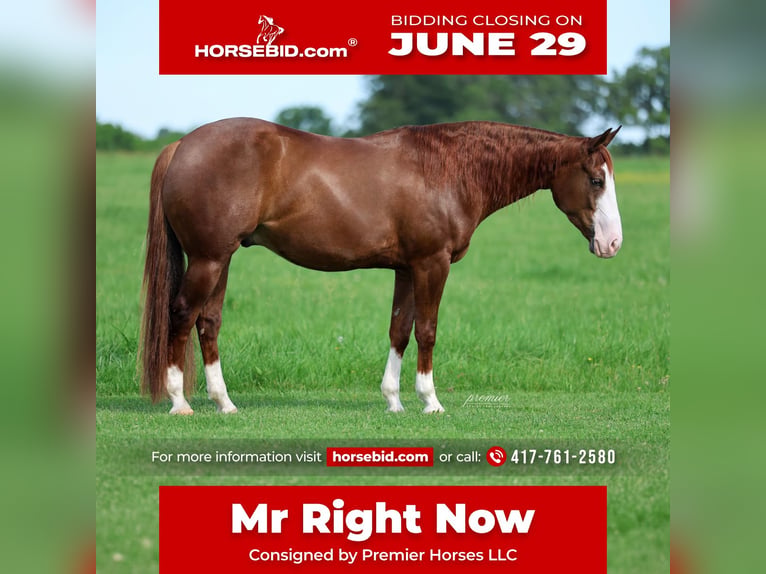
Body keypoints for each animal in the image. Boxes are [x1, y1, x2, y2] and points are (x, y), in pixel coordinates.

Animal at [139, 119, 622, 415]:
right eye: (596, 179)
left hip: (222, 259)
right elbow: (427, 330)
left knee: (208, 322)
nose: (612, 243)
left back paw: (224, 403)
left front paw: (394, 400)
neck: (447, 169)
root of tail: (182, 145)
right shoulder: (432, 264)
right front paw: (430, 401)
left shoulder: (407, 268)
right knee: (181, 315)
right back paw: (180, 402)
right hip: (208, 259)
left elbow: (400, 329)